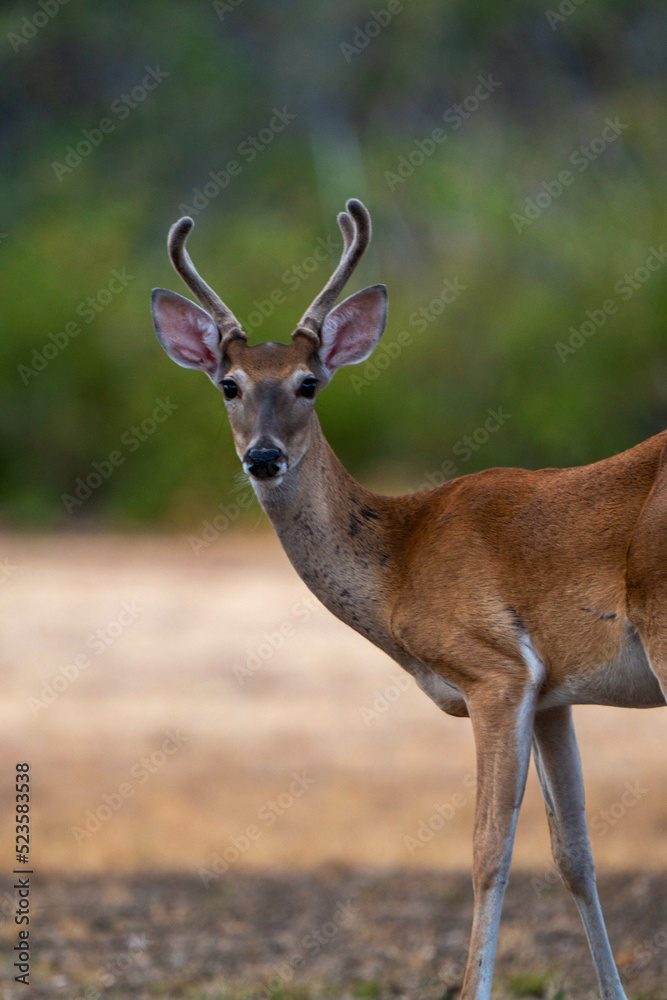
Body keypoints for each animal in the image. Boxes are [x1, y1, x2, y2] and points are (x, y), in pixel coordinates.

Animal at [151, 198, 665, 1000]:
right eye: (228, 383)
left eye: (308, 382)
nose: (262, 456)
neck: (403, 556)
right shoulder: (554, 693)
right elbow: (574, 854)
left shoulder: (494, 671)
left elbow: (489, 849)